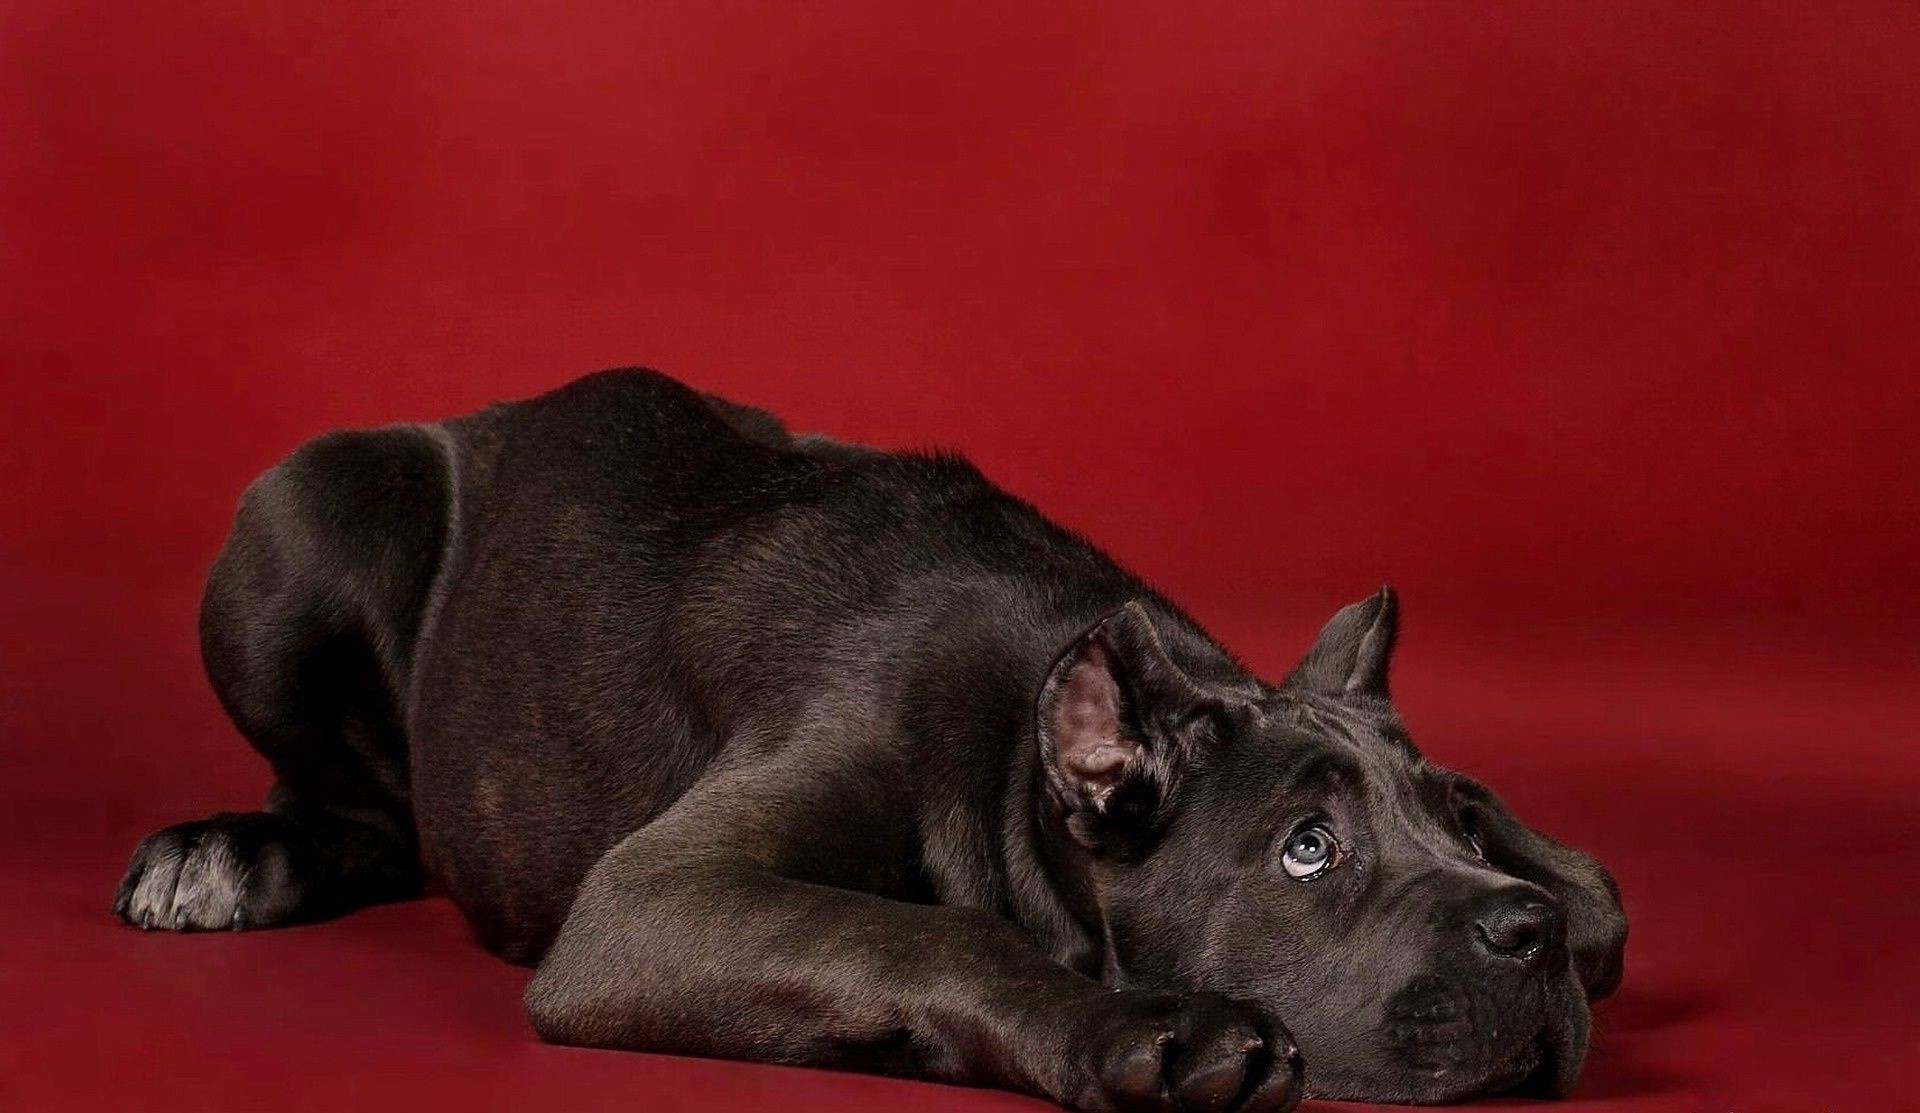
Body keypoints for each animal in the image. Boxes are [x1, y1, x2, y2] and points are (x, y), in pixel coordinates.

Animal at [116, 372, 1620, 1105]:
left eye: (1453, 821)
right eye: (1309, 849)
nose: (1523, 932)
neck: (1022, 746)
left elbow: (1603, 893)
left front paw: (1563, 891)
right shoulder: (649, 899)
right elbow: (930, 932)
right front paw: (1135, 1026)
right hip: (301, 511)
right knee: (363, 805)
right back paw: (229, 855)